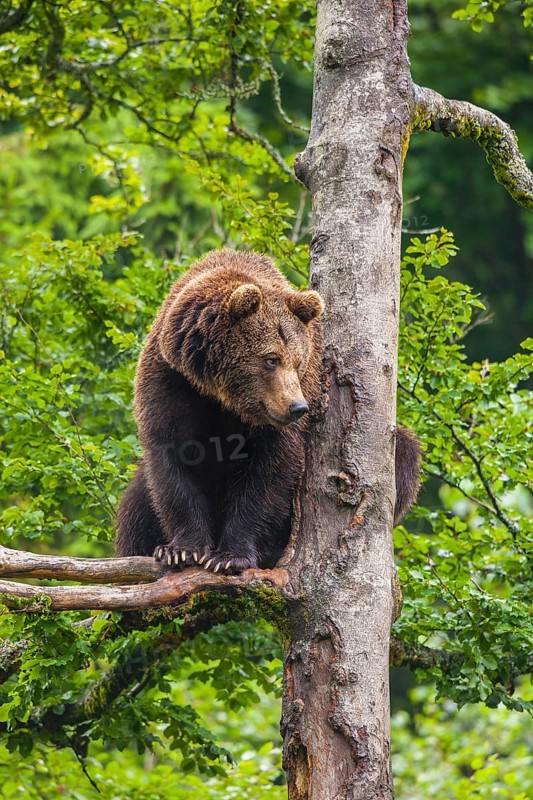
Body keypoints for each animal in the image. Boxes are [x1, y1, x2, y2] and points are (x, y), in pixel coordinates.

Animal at [115, 249, 420, 574]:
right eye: (271, 359)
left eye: (298, 362)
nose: (297, 406)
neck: (220, 397)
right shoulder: (172, 381)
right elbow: (173, 460)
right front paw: (181, 550)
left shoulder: (276, 427)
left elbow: (269, 474)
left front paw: (230, 556)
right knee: (136, 503)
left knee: (402, 452)